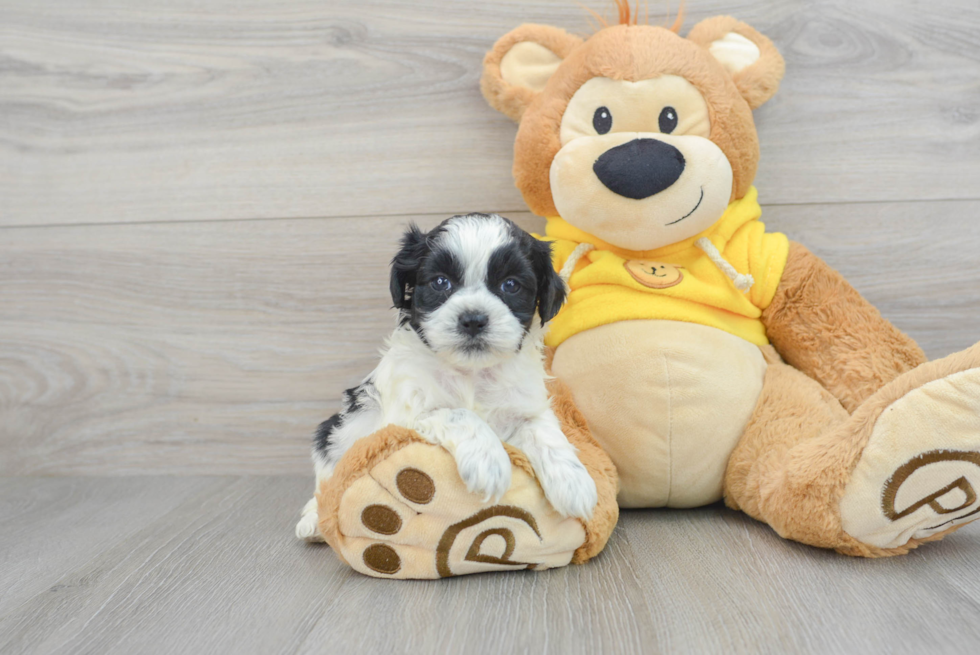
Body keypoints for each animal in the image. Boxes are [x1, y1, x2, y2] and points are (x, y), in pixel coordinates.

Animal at [294, 213, 596, 540]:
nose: (473, 319)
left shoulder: (525, 404)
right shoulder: (405, 416)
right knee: (326, 480)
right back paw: (313, 520)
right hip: (342, 427)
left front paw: (575, 482)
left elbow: (545, 432)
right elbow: (458, 413)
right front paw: (489, 461)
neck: (471, 373)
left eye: (511, 285)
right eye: (441, 282)